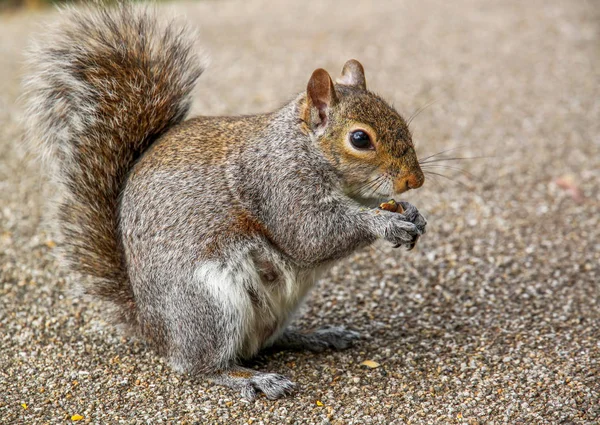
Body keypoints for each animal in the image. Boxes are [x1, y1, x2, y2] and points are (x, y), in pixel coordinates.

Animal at [23, 4, 426, 400]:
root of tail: (154, 330)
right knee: (201, 366)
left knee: (266, 343)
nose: (415, 180)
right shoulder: (277, 185)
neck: (303, 148)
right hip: (211, 305)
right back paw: (250, 379)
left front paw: (412, 214)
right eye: (360, 139)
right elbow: (310, 236)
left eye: (400, 119)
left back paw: (317, 336)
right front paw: (384, 223)